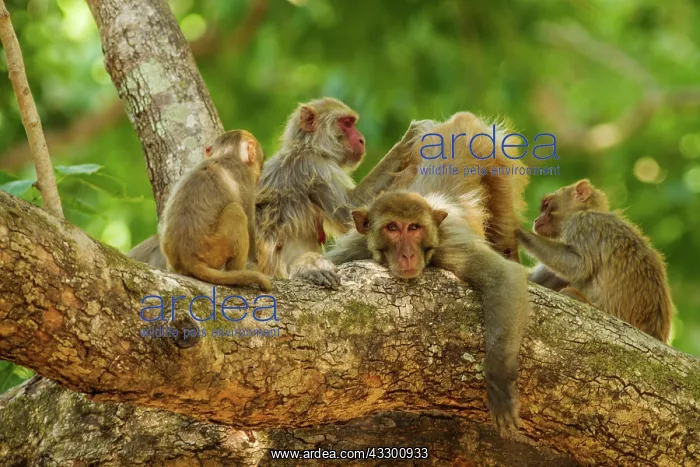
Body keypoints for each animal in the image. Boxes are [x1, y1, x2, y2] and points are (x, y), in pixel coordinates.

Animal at [159, 129, 271, 291]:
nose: (258, 177)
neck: (228, 154)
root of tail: (188, 257)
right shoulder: (247, 181)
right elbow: (250, 225)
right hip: (213, 249)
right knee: (235, 211)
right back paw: (236, 271)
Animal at [326, 191, 531, 435]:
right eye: (392, 227)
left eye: (415, 227)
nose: (407, 254)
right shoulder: (355, 248)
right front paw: (314, 269)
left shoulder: (449, 246)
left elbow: (503, 276)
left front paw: (498, 380)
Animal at [516, 179, 673, 343]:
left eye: (546, 206)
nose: (536, 220)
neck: (583, 211)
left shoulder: (583, 224)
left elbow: (579, 265)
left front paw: (521, 232)